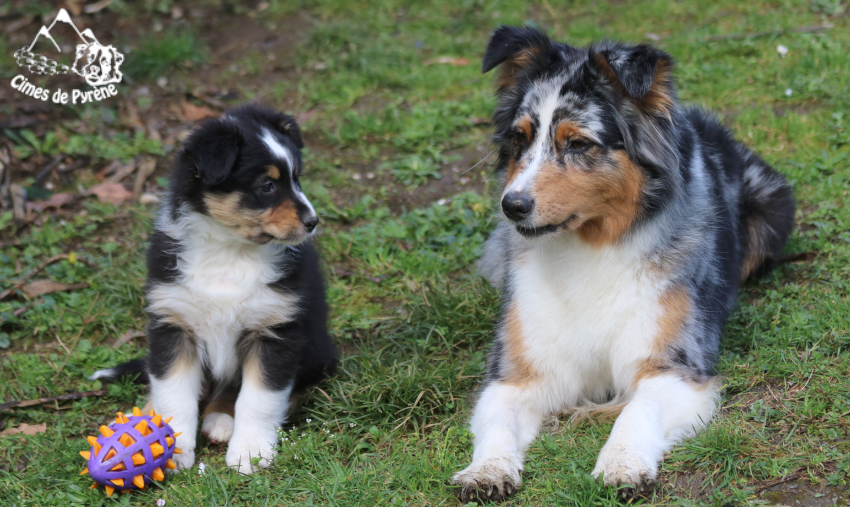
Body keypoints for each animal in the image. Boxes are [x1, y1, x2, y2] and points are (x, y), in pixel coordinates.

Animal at [91, 104, 337, 475]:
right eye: (267, 186)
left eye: (297, 178)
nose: (312, 222)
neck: (229, 250)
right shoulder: (173, 324)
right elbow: (173, 392)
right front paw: (170, 447)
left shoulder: (276, 330)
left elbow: (260, 398)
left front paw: (250, 453)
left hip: (318, 350)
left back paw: (221, 420)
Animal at [451, 26, 795, 501]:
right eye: (520, 138)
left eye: (578, 143)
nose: (512, 206)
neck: (591, 245)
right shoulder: (518, 372)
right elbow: (498, 421)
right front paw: (485, 470)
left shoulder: (674, 363)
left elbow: (637, 410)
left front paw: (621, 463)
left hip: (772, 212)